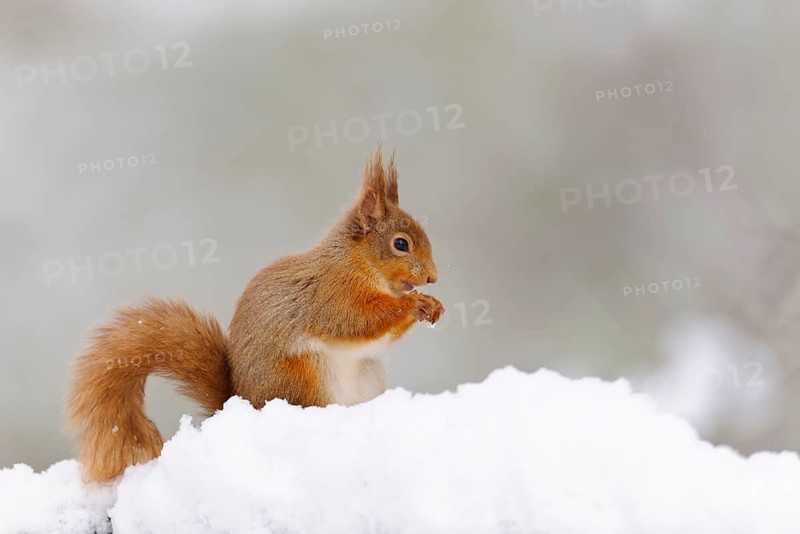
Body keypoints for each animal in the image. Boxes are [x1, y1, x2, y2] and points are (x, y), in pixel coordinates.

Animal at [66, 147, 444, 483]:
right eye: (401, 244)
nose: (432, 278)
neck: (358, 263)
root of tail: (241, 403)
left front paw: (433, 305)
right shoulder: (333, 295)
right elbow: (360, 321)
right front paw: (416, 304)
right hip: (301, 377)